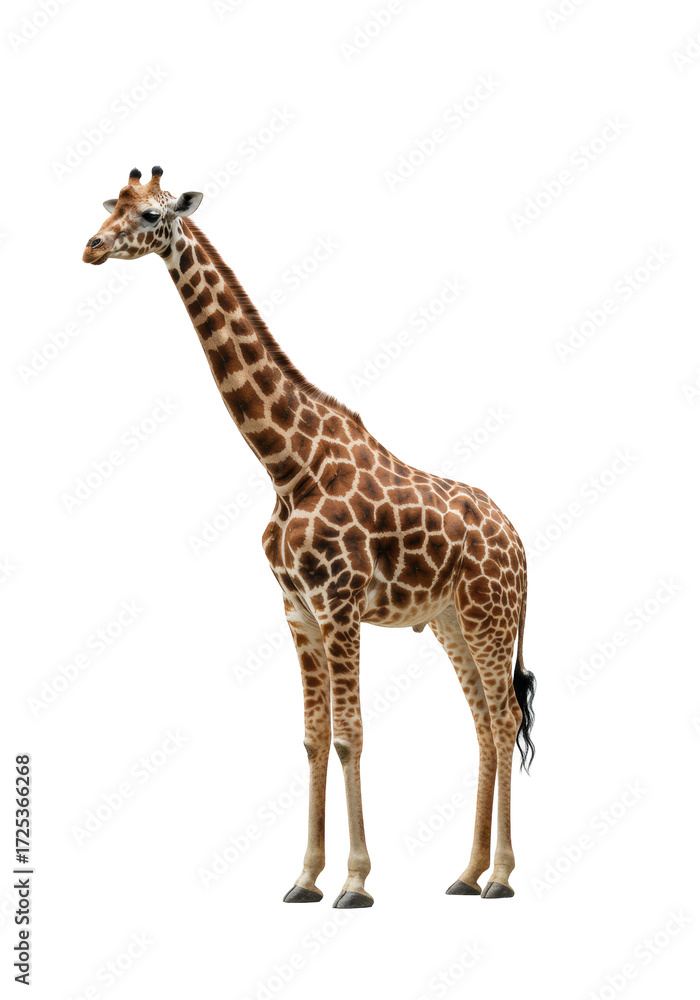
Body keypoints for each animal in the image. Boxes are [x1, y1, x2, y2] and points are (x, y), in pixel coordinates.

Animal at [83, 166, 536, 907]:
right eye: (110, 206)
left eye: (149, 214)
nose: (90, 247)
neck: (286, 464)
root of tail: (520, 543)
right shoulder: (296, 608)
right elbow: (312, 737)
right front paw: (304, 876)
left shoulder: (339, 603)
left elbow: (350, 735)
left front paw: (354, 881)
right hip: (451, 622)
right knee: (483, 727)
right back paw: (467, 873)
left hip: (489, 617)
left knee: (502, 718)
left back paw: (499, 875)